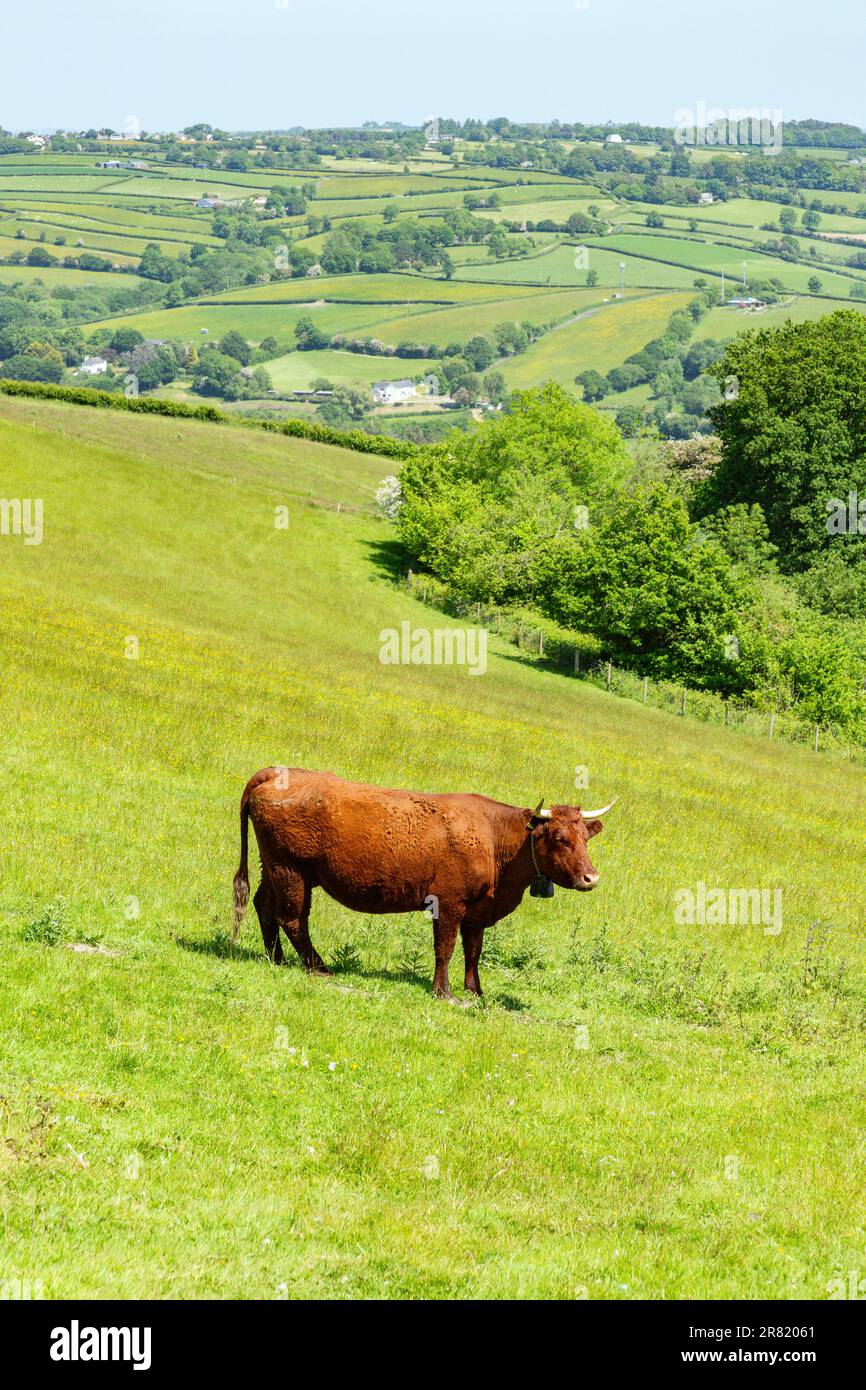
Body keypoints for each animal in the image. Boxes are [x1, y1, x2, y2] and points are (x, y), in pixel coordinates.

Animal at [232, 767, 615, 1003]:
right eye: (560, 838)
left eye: (585, 837)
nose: (591, 877)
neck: (494, 838)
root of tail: (276, 772)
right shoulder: (449, 902)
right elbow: (445, 948)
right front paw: (444, 992)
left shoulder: (477, 911)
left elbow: (473, 951)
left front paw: (476, 992)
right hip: (291, 870)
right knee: (293, 918)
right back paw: (319, 967)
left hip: (275, 868)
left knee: (265, 907)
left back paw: (277, 959)